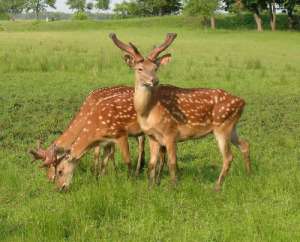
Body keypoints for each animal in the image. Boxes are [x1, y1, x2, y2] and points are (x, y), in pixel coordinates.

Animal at [110, 32, 251, 191]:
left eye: (155, 68)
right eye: (139, 68)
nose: (154, 80)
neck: (149, 112)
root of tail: (242, 101)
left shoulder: (171, 133)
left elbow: (172, 163)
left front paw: (173, 187)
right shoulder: (152, 136)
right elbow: (152, 164)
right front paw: (150, 188)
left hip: (222, 126)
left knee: (228, 157)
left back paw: (217, 187)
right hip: (232, 126)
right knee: (245, 145)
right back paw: (248, 175)